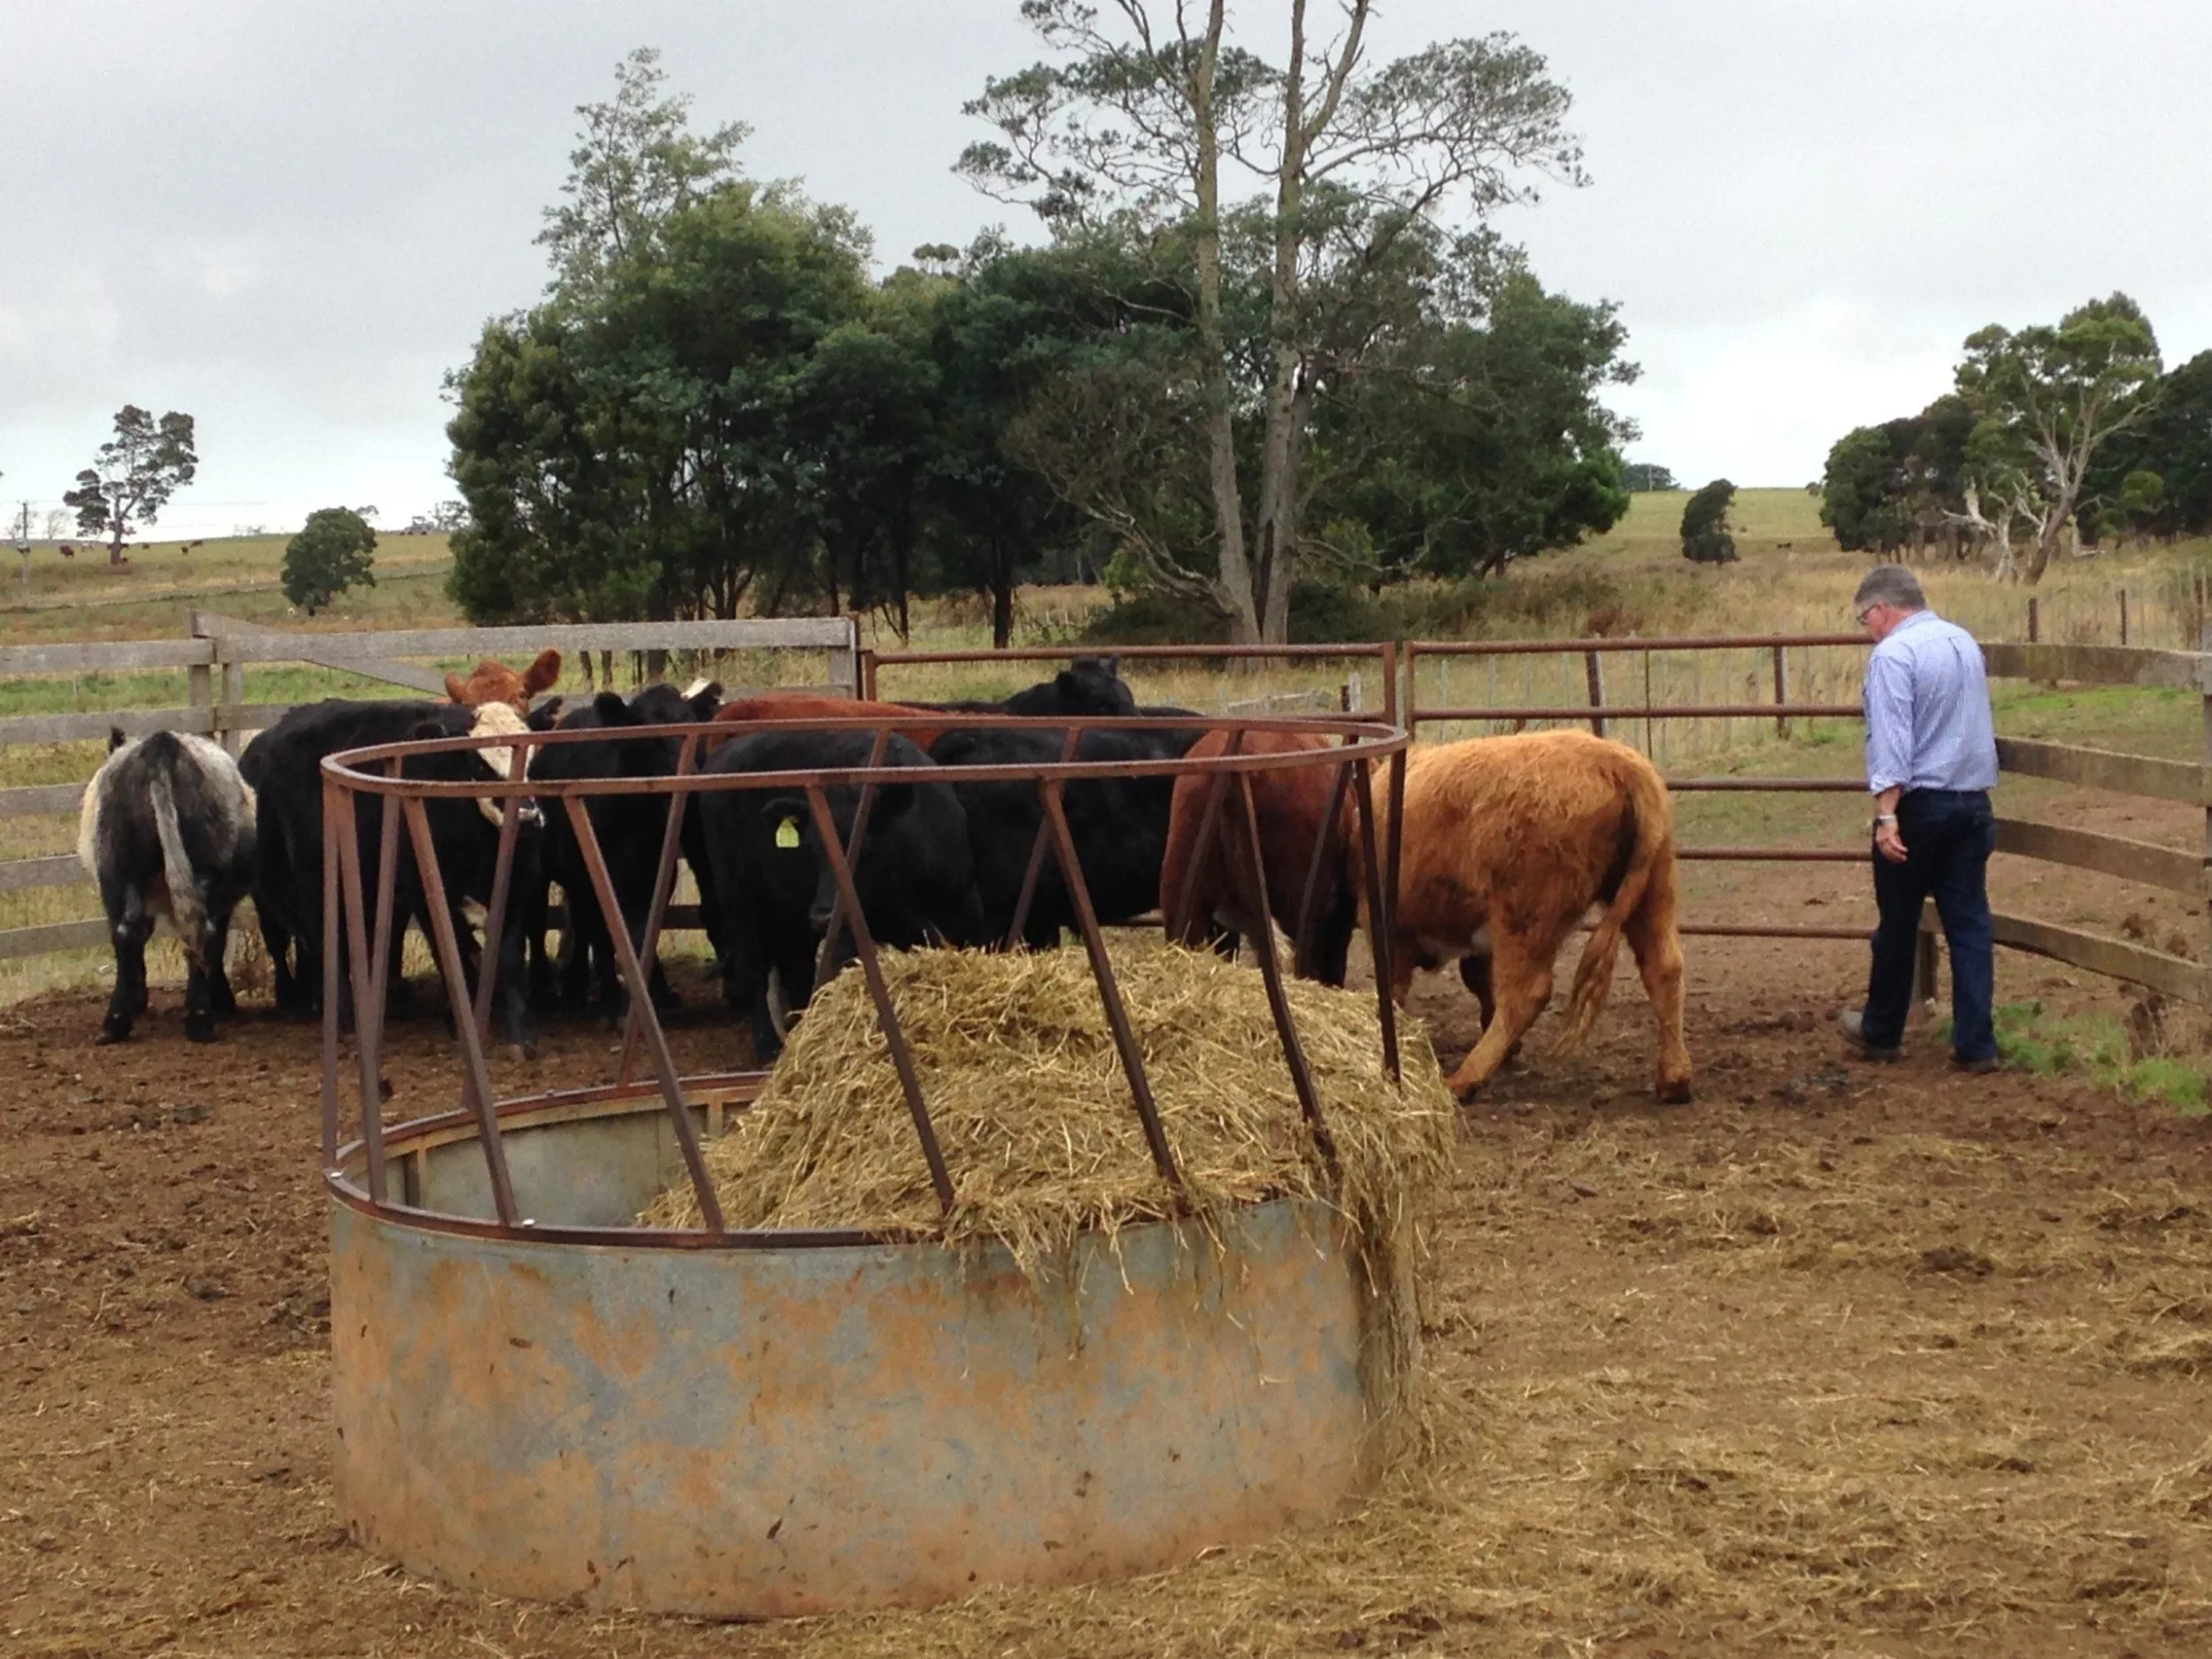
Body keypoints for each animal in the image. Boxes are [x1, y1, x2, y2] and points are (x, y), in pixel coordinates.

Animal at [239, 697, 543, 1049]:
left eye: (531, 758)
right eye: (480, 765)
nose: (528, 818)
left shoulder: (518, 887)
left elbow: (507, 956)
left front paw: (520, 1034)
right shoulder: (425, 894)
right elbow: (455, 953)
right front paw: (459, 1022)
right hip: (311, 880)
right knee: (322, 942)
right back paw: (339, 1016)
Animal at [696, 729, 983, 1062]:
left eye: (865, 848)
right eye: (813, 850)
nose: (823, 915)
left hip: (791, 920)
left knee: (796, 969)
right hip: (741, 905)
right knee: (754, 969)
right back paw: (768, 1047)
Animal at [1371, 730, 1691, 1104]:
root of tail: (1614, 762)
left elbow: (1394, 984)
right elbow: (1476, 978)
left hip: (1524, 918)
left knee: (1525, 994)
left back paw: (1464, 1080)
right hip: (1652, 891)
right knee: (1663, 967)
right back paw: (1674, 1079)